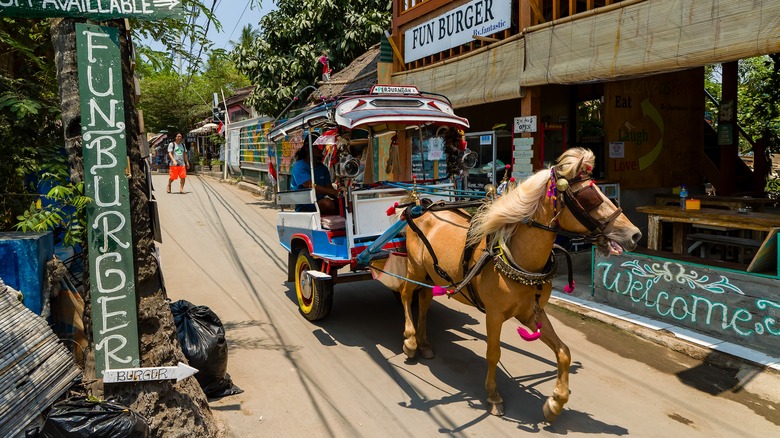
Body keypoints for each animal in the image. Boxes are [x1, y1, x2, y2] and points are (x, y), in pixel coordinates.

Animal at [400, 147, 644, 420]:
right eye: (590, 197)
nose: (634, 234)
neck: (516, 258)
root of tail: (422, 206)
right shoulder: (494, 314)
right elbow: (493, 353)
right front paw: (493, 396)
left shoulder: (531, 312)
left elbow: (564, 352)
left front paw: (556, 402)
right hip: (415, 268)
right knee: (405, 293)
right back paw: (410, 340)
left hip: (431, 275)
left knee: (424, 300)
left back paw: (424, 343)